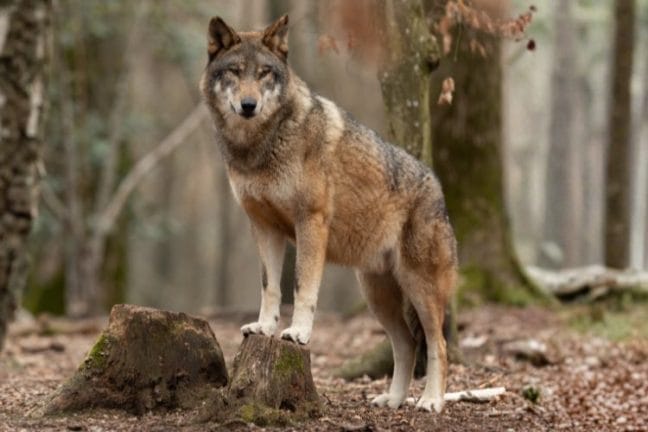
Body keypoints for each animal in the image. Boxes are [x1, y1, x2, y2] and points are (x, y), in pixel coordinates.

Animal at [200, 14, 458, 413]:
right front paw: (263, 327)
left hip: (420, 288)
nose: (248, 105)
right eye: (235, 72)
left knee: (437, 345)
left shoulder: (310, 222)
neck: (260, 145)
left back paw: (430, 402)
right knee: (406, 344)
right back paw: (393, 400)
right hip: (377, 295)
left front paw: (297, 333)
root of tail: (438, 186)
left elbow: (302, 286)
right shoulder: (263, 227)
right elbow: (270, 287)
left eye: (264, 73)